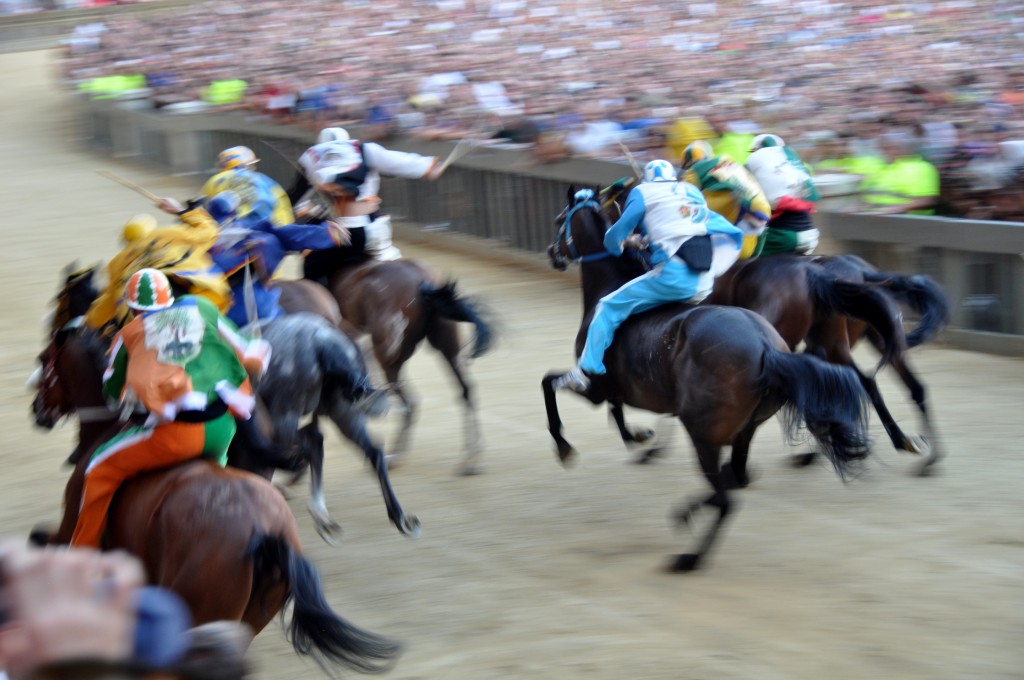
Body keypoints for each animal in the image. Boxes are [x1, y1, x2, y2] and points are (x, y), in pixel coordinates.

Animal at [32, 313, 401, 675]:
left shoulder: (71, 530)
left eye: (45, 360)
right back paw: (386, 516)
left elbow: (44, 540)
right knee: (357, 448)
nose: (37, 410)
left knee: (318, 443)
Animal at [323, 258, 491, 475]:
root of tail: (425, 282)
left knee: (408, 401)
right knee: (465, 390)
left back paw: (393, 455)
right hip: (447, 347)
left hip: (392, 359)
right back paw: (471, 458)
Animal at [544, 188, 872, 569]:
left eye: (559, 220)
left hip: (703, 430)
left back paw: (689, 556)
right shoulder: (614, 388)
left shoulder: (593, 384)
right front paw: (639, 436)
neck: (609, 286)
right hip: (747, 426)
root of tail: (766, 347)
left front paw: (565, 447)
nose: (552, 252)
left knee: (726, 495)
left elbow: (551, 384)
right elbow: (617, 411)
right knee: (736, 479)